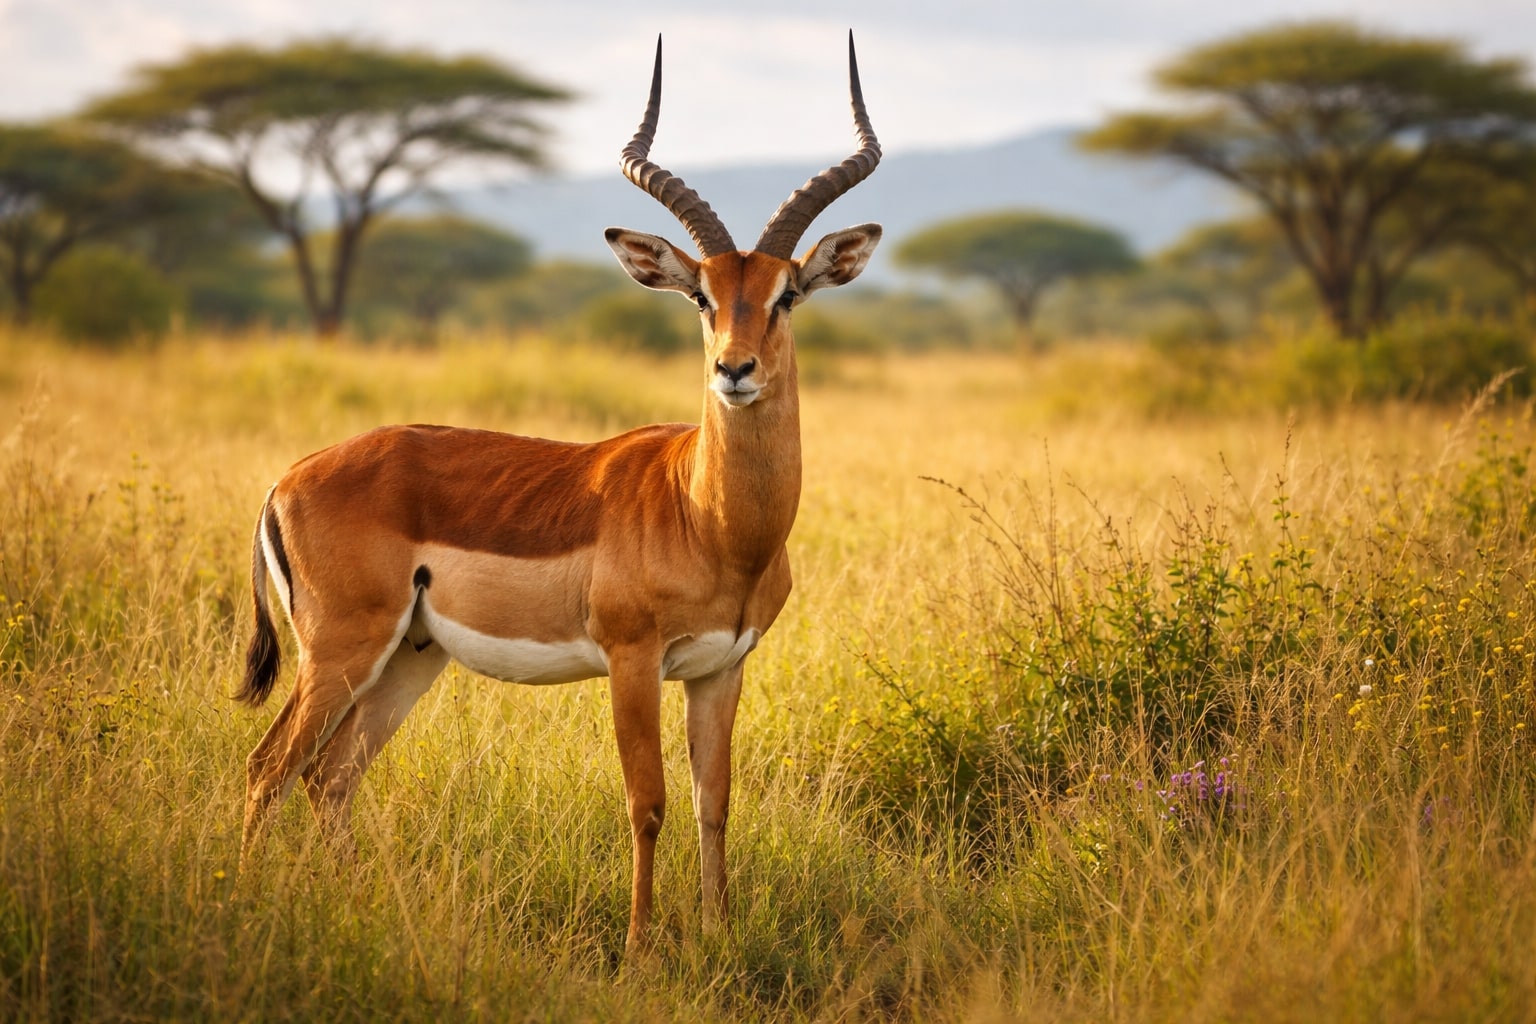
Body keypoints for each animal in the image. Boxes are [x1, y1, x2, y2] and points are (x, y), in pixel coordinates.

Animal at [236, 33, 881, 950]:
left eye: (787, 293)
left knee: (330, 774)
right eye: (702, 296)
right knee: (269, 768)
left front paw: (719, 938)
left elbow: (713, 803)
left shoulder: (721, 669)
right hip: (340, 650)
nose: (735, 370)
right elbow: (647, 803)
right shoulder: (633, 659)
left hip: (409, 657)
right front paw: (642, 949)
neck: (710, 519)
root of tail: (289, 477)